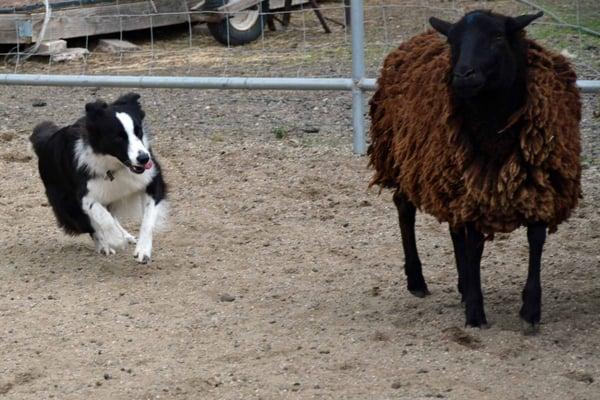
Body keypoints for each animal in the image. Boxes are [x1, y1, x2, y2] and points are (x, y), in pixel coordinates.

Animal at [29, 92, 166, 264]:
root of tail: (45, 142)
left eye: (138, 131)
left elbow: (148, 218)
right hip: (67, 205)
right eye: (118, 137)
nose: (143, 158)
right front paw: (116, 240)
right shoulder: (84, 196)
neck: (116, 166)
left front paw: (142, 250)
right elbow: (102, 217)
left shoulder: (152, 180)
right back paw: (104, 245)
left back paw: (126, 236)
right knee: (92, 225)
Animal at [368, 10, 584, 332]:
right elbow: (475, 247)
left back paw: (462, 284)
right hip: (403, 156)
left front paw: (530, 311)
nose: (462, 75)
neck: (495, 127)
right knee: (405, 208)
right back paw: (417, 280)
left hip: (447, 178)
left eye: (497, 36)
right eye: (453, 40)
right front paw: (475, 312)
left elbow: (534, 241)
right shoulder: (472, 190)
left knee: (455, 230)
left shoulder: (538, 183)